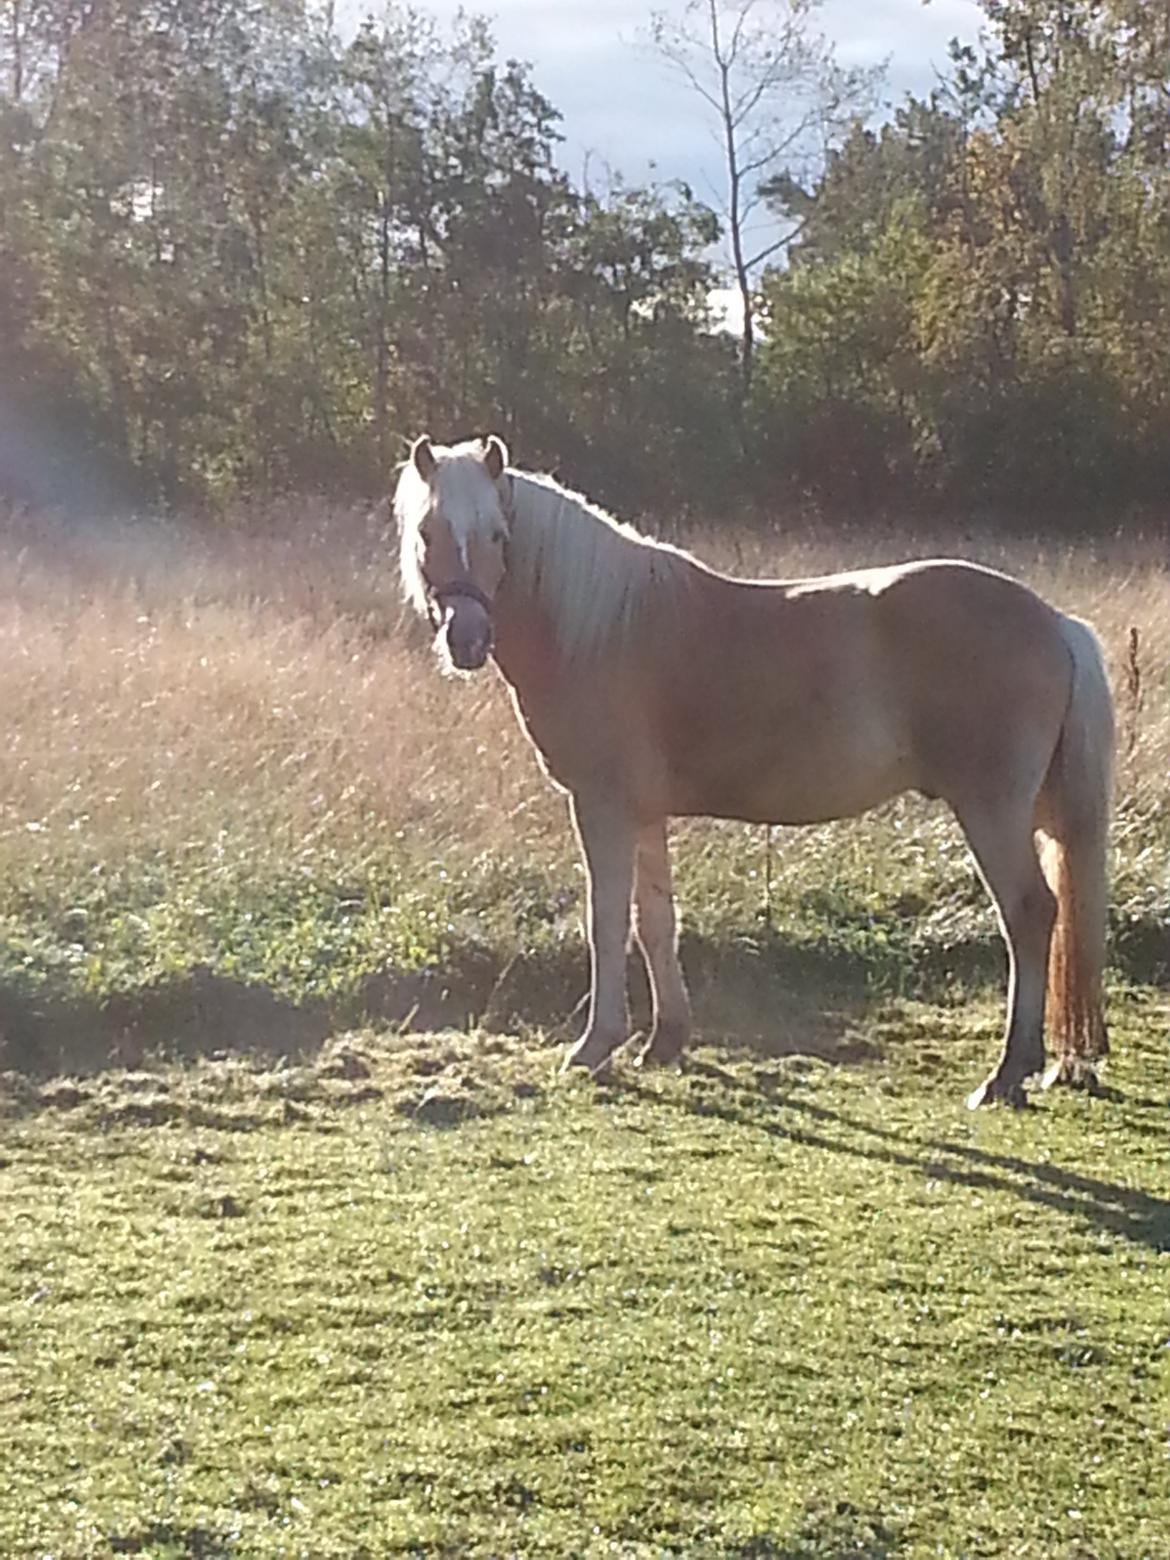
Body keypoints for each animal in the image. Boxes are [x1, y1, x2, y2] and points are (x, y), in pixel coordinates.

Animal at [396, 433, 1116, 1104]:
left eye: (497, 533)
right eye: (429, 533)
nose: (466, 640)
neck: (602, 628)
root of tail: (1055, 622)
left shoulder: (601, 807)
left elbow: (607, 923)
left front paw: (595, 1044)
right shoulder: (643, 813)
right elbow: (655, 922)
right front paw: (664, 1041)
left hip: (991, 810)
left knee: (1029, 914)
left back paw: (1006, 1073)